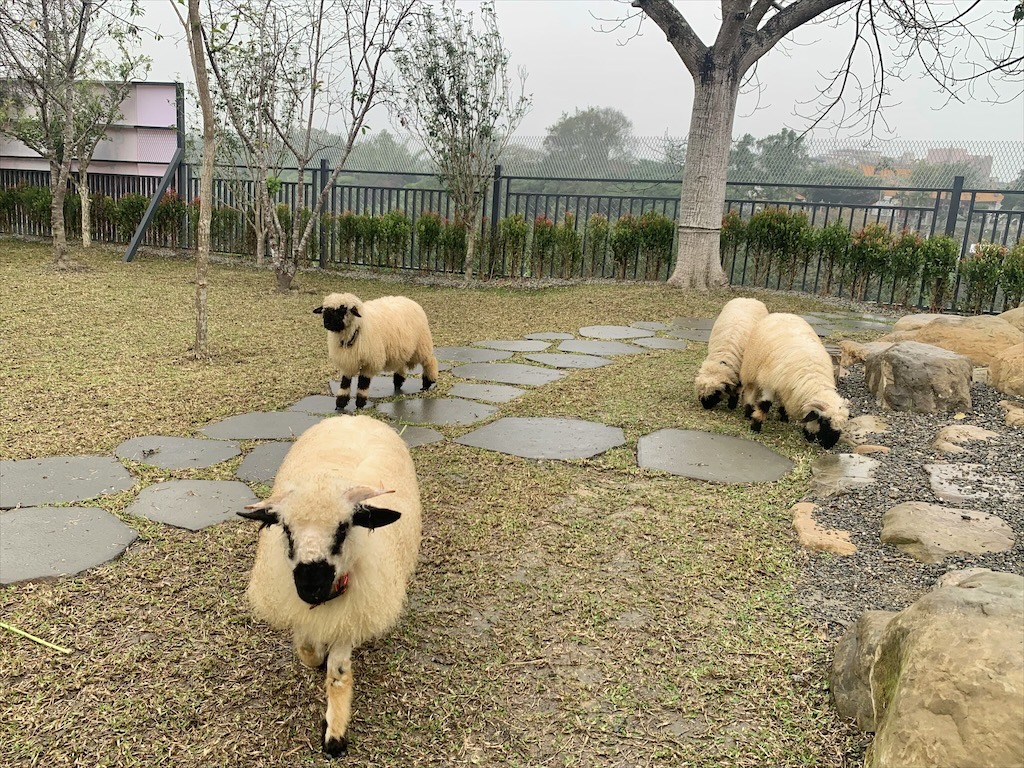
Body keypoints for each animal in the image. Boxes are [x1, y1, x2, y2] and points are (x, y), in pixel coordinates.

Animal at [236, 415, 419, 757]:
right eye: (285, 529)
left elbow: (337, 673)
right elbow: (307, 648)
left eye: (344, 528)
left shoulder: (351, 612)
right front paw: (315, 656)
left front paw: (335, 734)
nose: (310, 587)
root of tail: (356, 418)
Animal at [311, 292, 440, 411]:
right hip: (402, 348)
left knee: (430, 360)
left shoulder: (370, 362)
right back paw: (398, 382)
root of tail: (410, 300)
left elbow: (363, 383)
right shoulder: (348, 361)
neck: (358, 327)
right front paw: (340, 403)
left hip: (421, 345)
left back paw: (428, 382)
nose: (327, 323)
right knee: (402, 364)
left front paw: (360, 403)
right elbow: (345, 383)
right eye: (325, 310)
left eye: (342, 309)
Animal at [741, 309, 851, 448]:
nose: (829, 445)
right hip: (753, 368)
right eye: (825, 422)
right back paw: (748, 411)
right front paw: (755, 427)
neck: (813, 377)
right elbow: (764, 405)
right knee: (752, 390)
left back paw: (783, 417)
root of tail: (782, 313)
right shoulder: (769, 384)